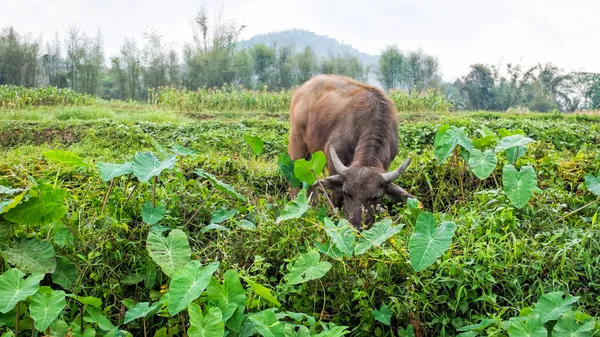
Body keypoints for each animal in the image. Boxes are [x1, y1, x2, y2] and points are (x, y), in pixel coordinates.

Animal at [286, 74, 412, 228]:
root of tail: (302, 89)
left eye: (375, 197)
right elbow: (336, 197)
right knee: (296, 181)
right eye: (346, 193)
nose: (356, 226)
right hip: (298, 146)